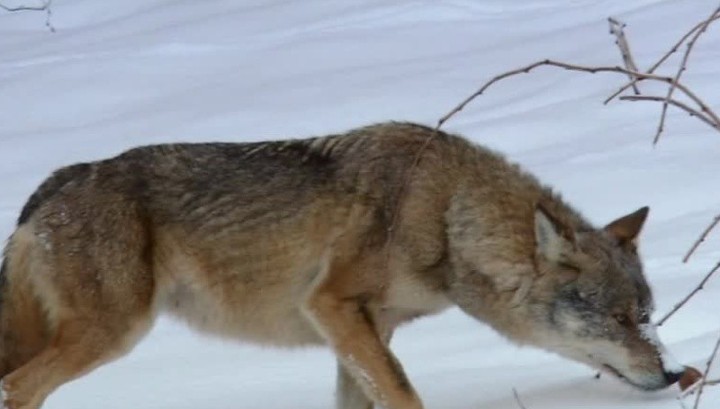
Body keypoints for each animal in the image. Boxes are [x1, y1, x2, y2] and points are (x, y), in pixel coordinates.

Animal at [0, 122, 688, 408]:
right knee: (17, 388)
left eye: (648, 315)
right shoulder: (333, 307)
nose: (674, 373)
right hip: (112, 335)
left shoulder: (363, 333)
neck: (445, 214)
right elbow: (407, 398)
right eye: (619, 320)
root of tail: (57, 183)